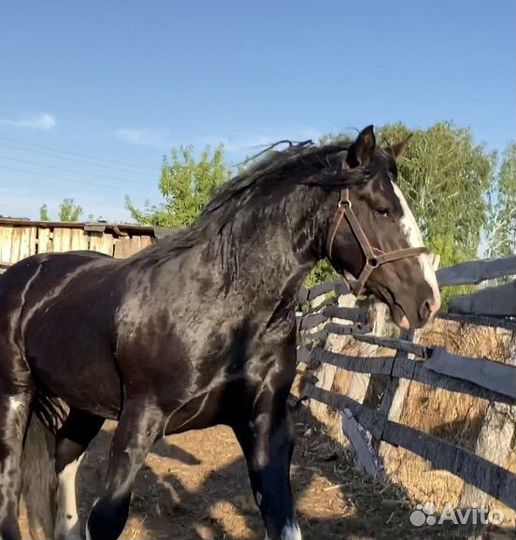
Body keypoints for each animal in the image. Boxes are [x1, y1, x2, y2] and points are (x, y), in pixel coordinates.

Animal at [0, 124, 440, 536]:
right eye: (382, 210)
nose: (427, 300)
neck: (224, 309)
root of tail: (24, 274)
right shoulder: (139, 420)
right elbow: (107, 518)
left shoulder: (265, 425)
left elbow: (284, 521)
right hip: (16, 394)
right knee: (11, 481)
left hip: (86, 404)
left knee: (63, 457)